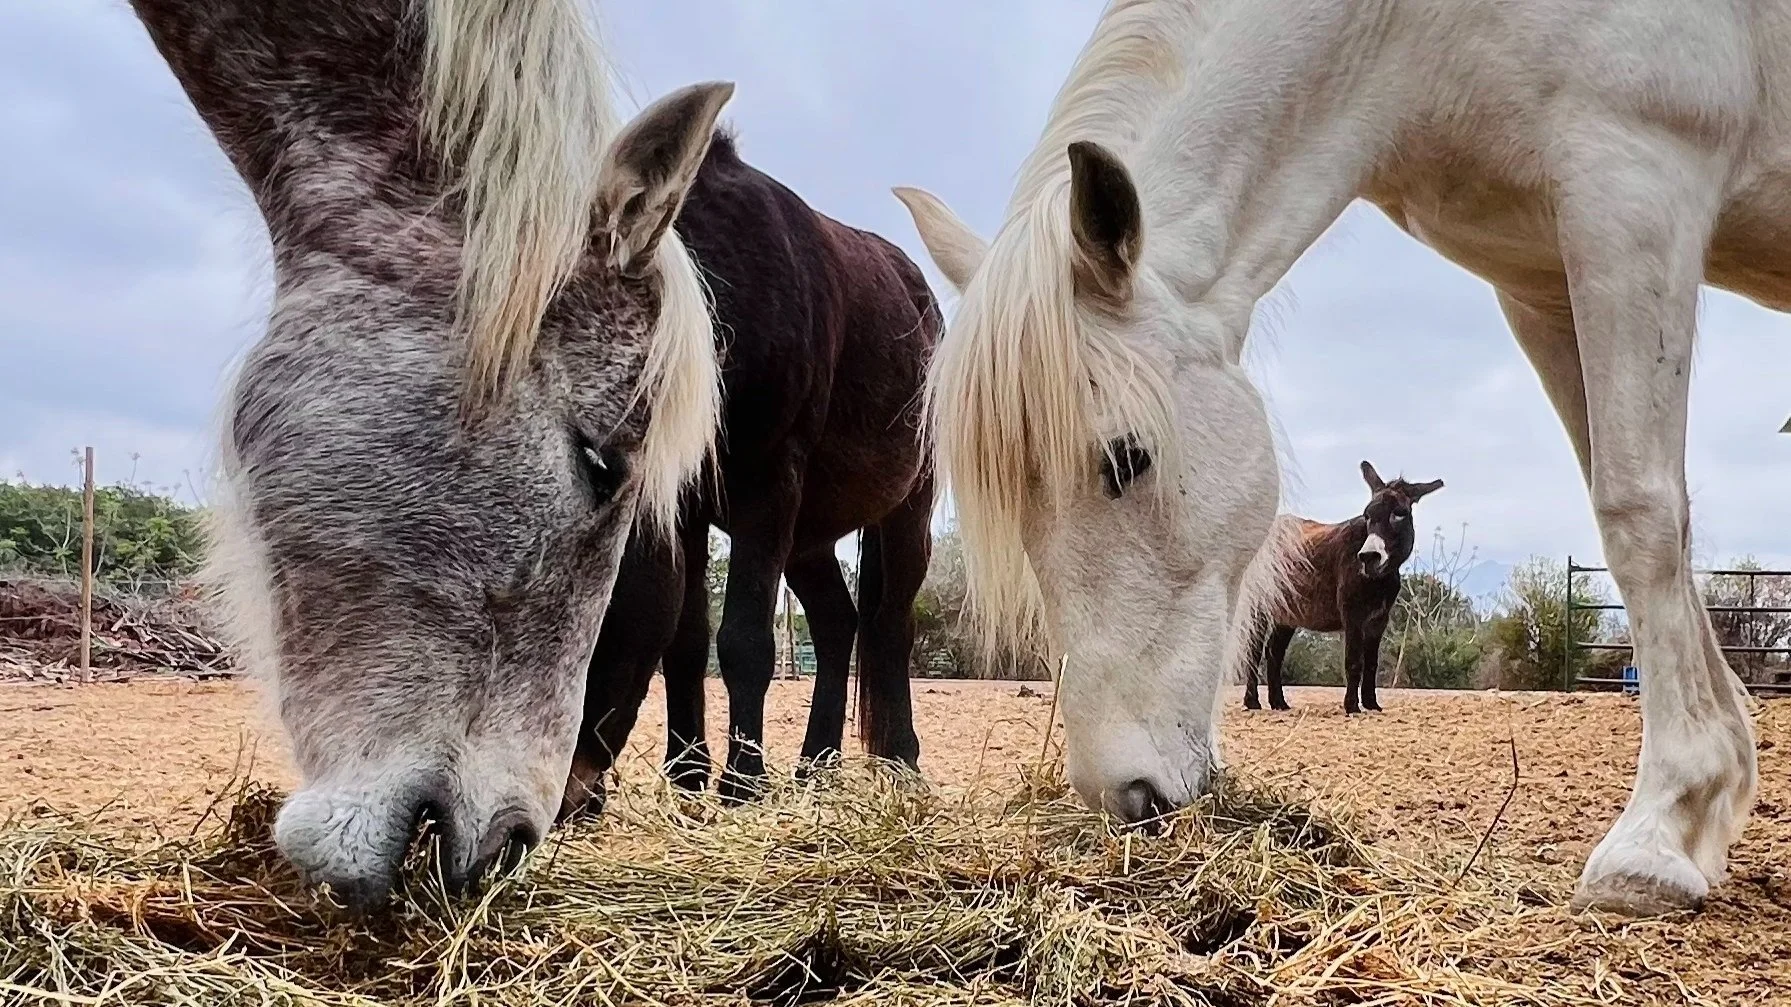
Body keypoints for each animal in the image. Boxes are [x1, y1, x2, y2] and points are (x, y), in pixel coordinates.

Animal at [559, 130, 940, 814]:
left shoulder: (769, 483)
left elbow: (744, 639)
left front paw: (741, 782)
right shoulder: (682, 505)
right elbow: (685, 639)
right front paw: (687, 775)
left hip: (906, 511)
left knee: (890, 626)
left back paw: (899, 762)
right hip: (809, 539)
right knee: (838, 623)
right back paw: (816, 765)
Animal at [1239, 462, 1444, 714]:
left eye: (1399, 514)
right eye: (1367, 516)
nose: (1368, 557)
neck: (1378, 579)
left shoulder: (1379, 619)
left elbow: (1372, 663)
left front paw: (1371, 704)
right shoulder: (1352, 613)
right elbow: (1354, 660)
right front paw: (1352, 706)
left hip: (1287, 612)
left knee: (1274, 652)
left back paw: (1279, 703)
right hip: (1259, 605)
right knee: (1254, 650)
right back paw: (1252, 702)